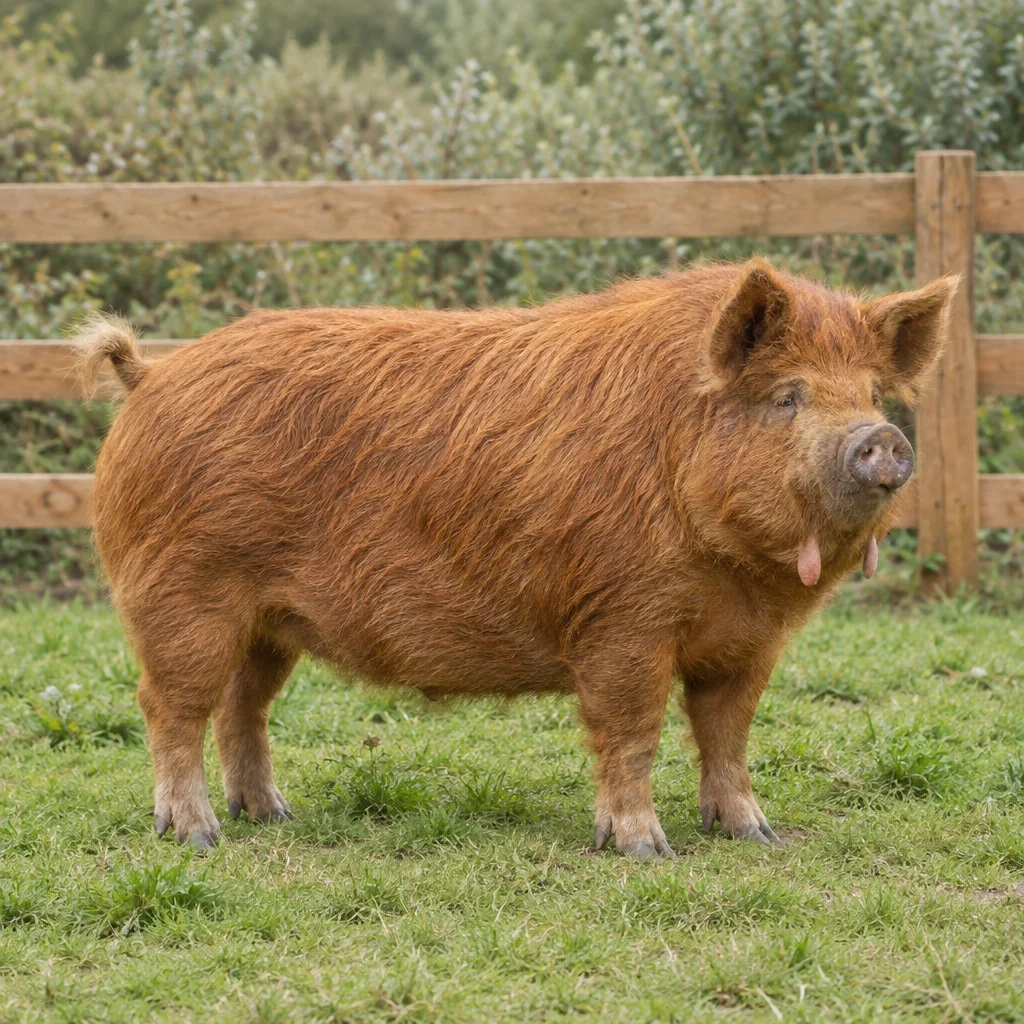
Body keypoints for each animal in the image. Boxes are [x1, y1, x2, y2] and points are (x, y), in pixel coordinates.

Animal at [74, 258, 956, 856]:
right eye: (787, 396)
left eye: (872, 393)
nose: (882, 439)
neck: (736, 571)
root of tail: (151, 376)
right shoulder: (620, 620)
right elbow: (632, 728)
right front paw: (645, 849)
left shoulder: (747, 644)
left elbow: (729, 736)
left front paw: (752, 834)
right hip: (183, 593)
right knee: (170, 705)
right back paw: (196, 836)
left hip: (270, 621)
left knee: (242, 708)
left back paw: (272, 815)